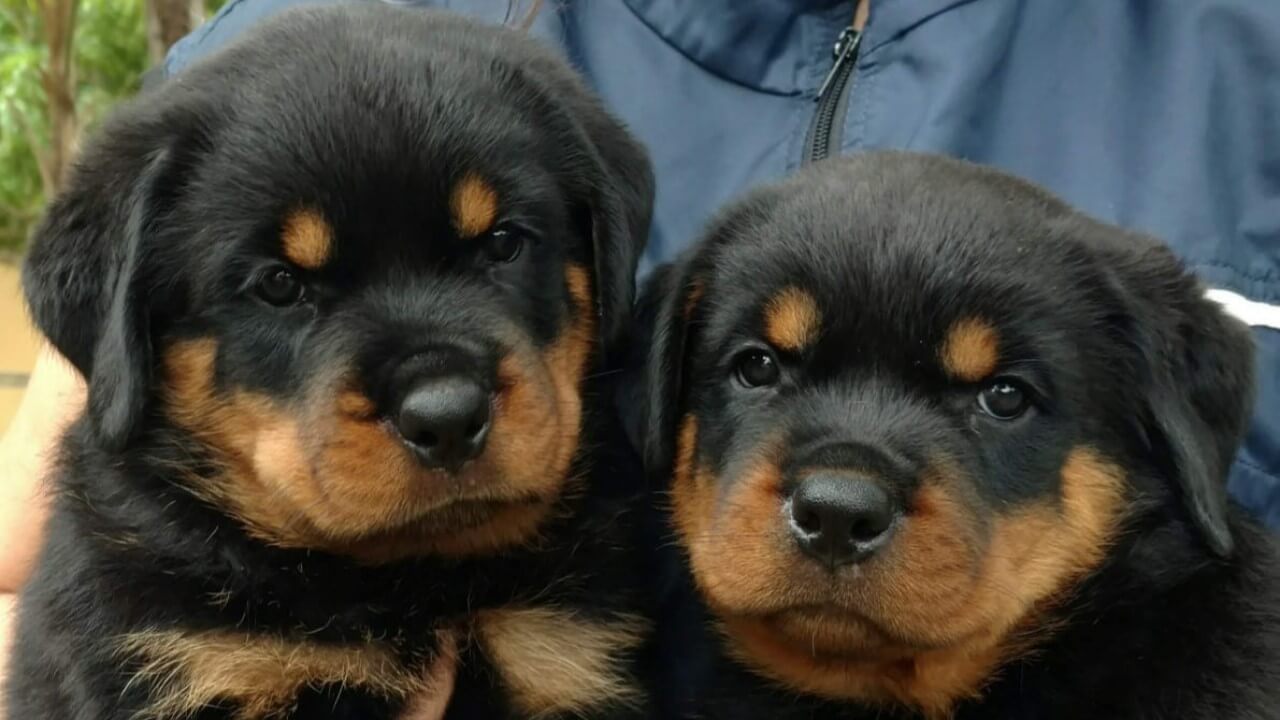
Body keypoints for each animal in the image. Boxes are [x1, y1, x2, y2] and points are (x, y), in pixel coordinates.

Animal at [10, 2, 660, 712]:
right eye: (279, 284)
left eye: (504, 242)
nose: (447, 417)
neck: (408, 584)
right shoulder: (192, 661)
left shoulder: (555, 655)